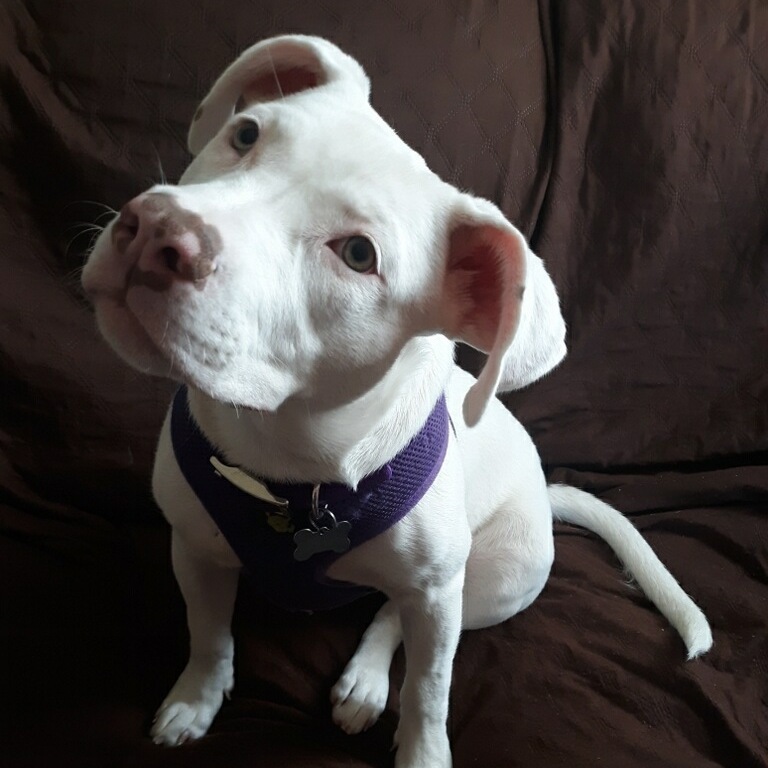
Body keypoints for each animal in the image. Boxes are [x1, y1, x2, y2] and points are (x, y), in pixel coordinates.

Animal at [81, 36, 712, 768]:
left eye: (359, 254)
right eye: (246, 134)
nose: (156, 229)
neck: (292, 456)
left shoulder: (437, 594)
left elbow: (430, 689)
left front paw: (423, 751)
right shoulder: (195, 549)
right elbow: (209, 635)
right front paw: (196, 699)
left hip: (496, 581)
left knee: (400, 620)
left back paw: (365, 679)